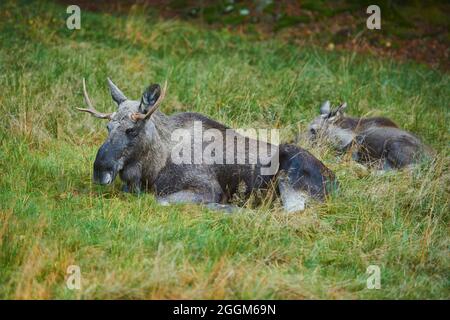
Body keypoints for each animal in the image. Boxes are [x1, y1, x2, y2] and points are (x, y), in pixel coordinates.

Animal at [76, 77, 338, 212]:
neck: (153, 167)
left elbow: (160, 200)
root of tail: (336, 183)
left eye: (132, 130)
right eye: (108, 128)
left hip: (291, 179)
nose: (100, 170)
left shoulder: (206, 188)